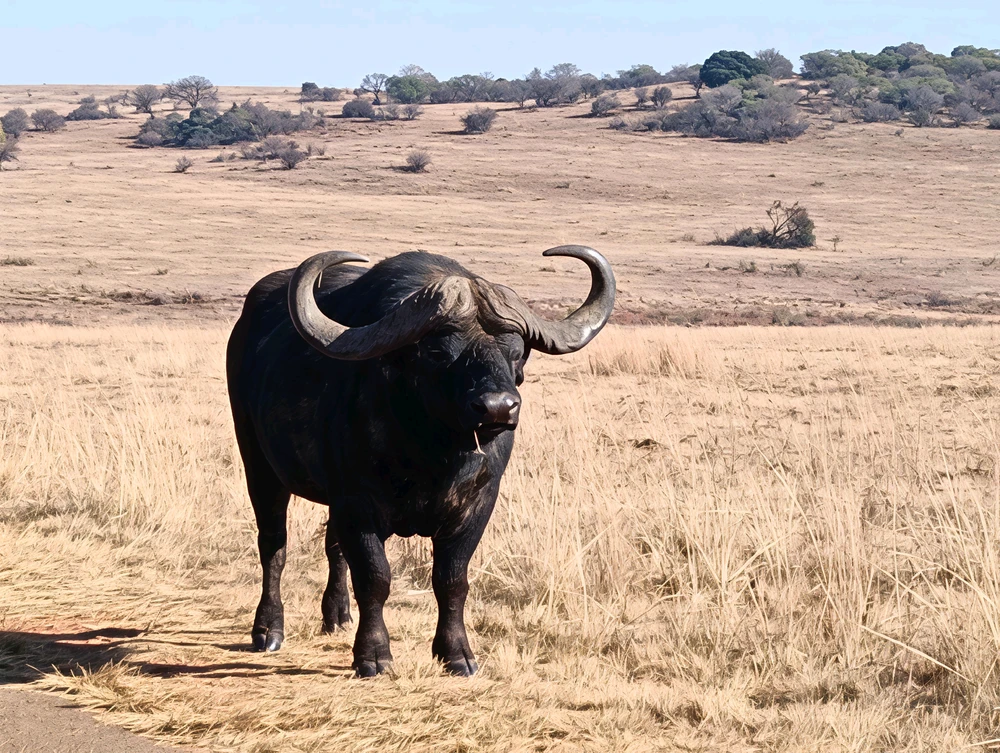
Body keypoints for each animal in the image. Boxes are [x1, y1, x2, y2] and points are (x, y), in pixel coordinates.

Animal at [226, 246, 615, 676]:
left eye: (517, 351)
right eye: (436, 351)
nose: (498, 408)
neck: (432, 456)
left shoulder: (478, 503)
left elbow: (452, 579)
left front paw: (456, 653)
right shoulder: (357, 505)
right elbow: (375, 578)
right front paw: (373, 655)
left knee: (332, 547)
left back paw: (337, 616)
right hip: (259, 465)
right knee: (273, 545)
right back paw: (268, 630)